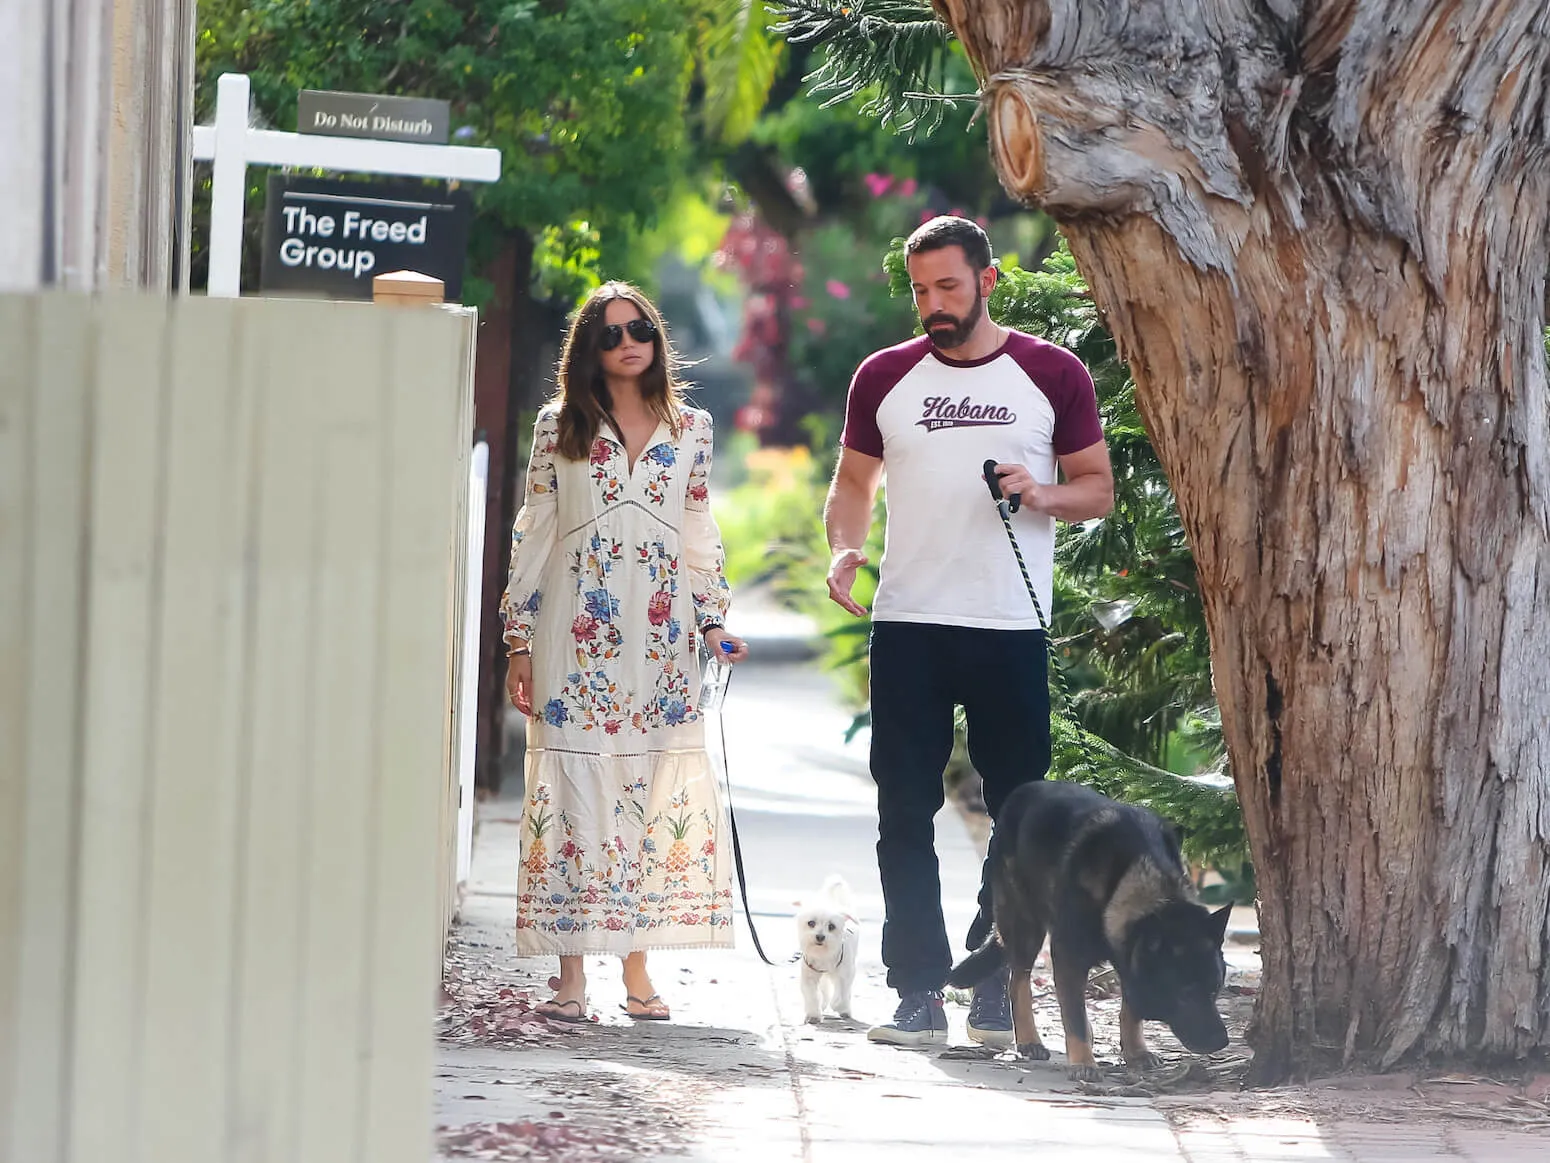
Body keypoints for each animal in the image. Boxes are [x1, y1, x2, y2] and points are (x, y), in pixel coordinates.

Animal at [799, 880, 861, 1023]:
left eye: (831, 926)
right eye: (811, 923)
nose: (820, 937)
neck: (824, 954)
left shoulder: (845, 974)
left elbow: (841, 992)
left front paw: (838, 1005)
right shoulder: (809, 976)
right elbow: (812, 995)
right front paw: (813, 1014)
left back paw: (845, 1010)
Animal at [942, 784, 1233, 1085]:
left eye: (1215, 989)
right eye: (1185, 994)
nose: (1222, 1042)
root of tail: (1024, 790)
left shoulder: (1128, 958)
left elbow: (1130, 1010)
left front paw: (1136, 1051)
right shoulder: (1069, 958)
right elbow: (1075, 1018)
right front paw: (1083, 1061)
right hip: (1026, 927)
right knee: (1018, 981)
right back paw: (1029, 1039)